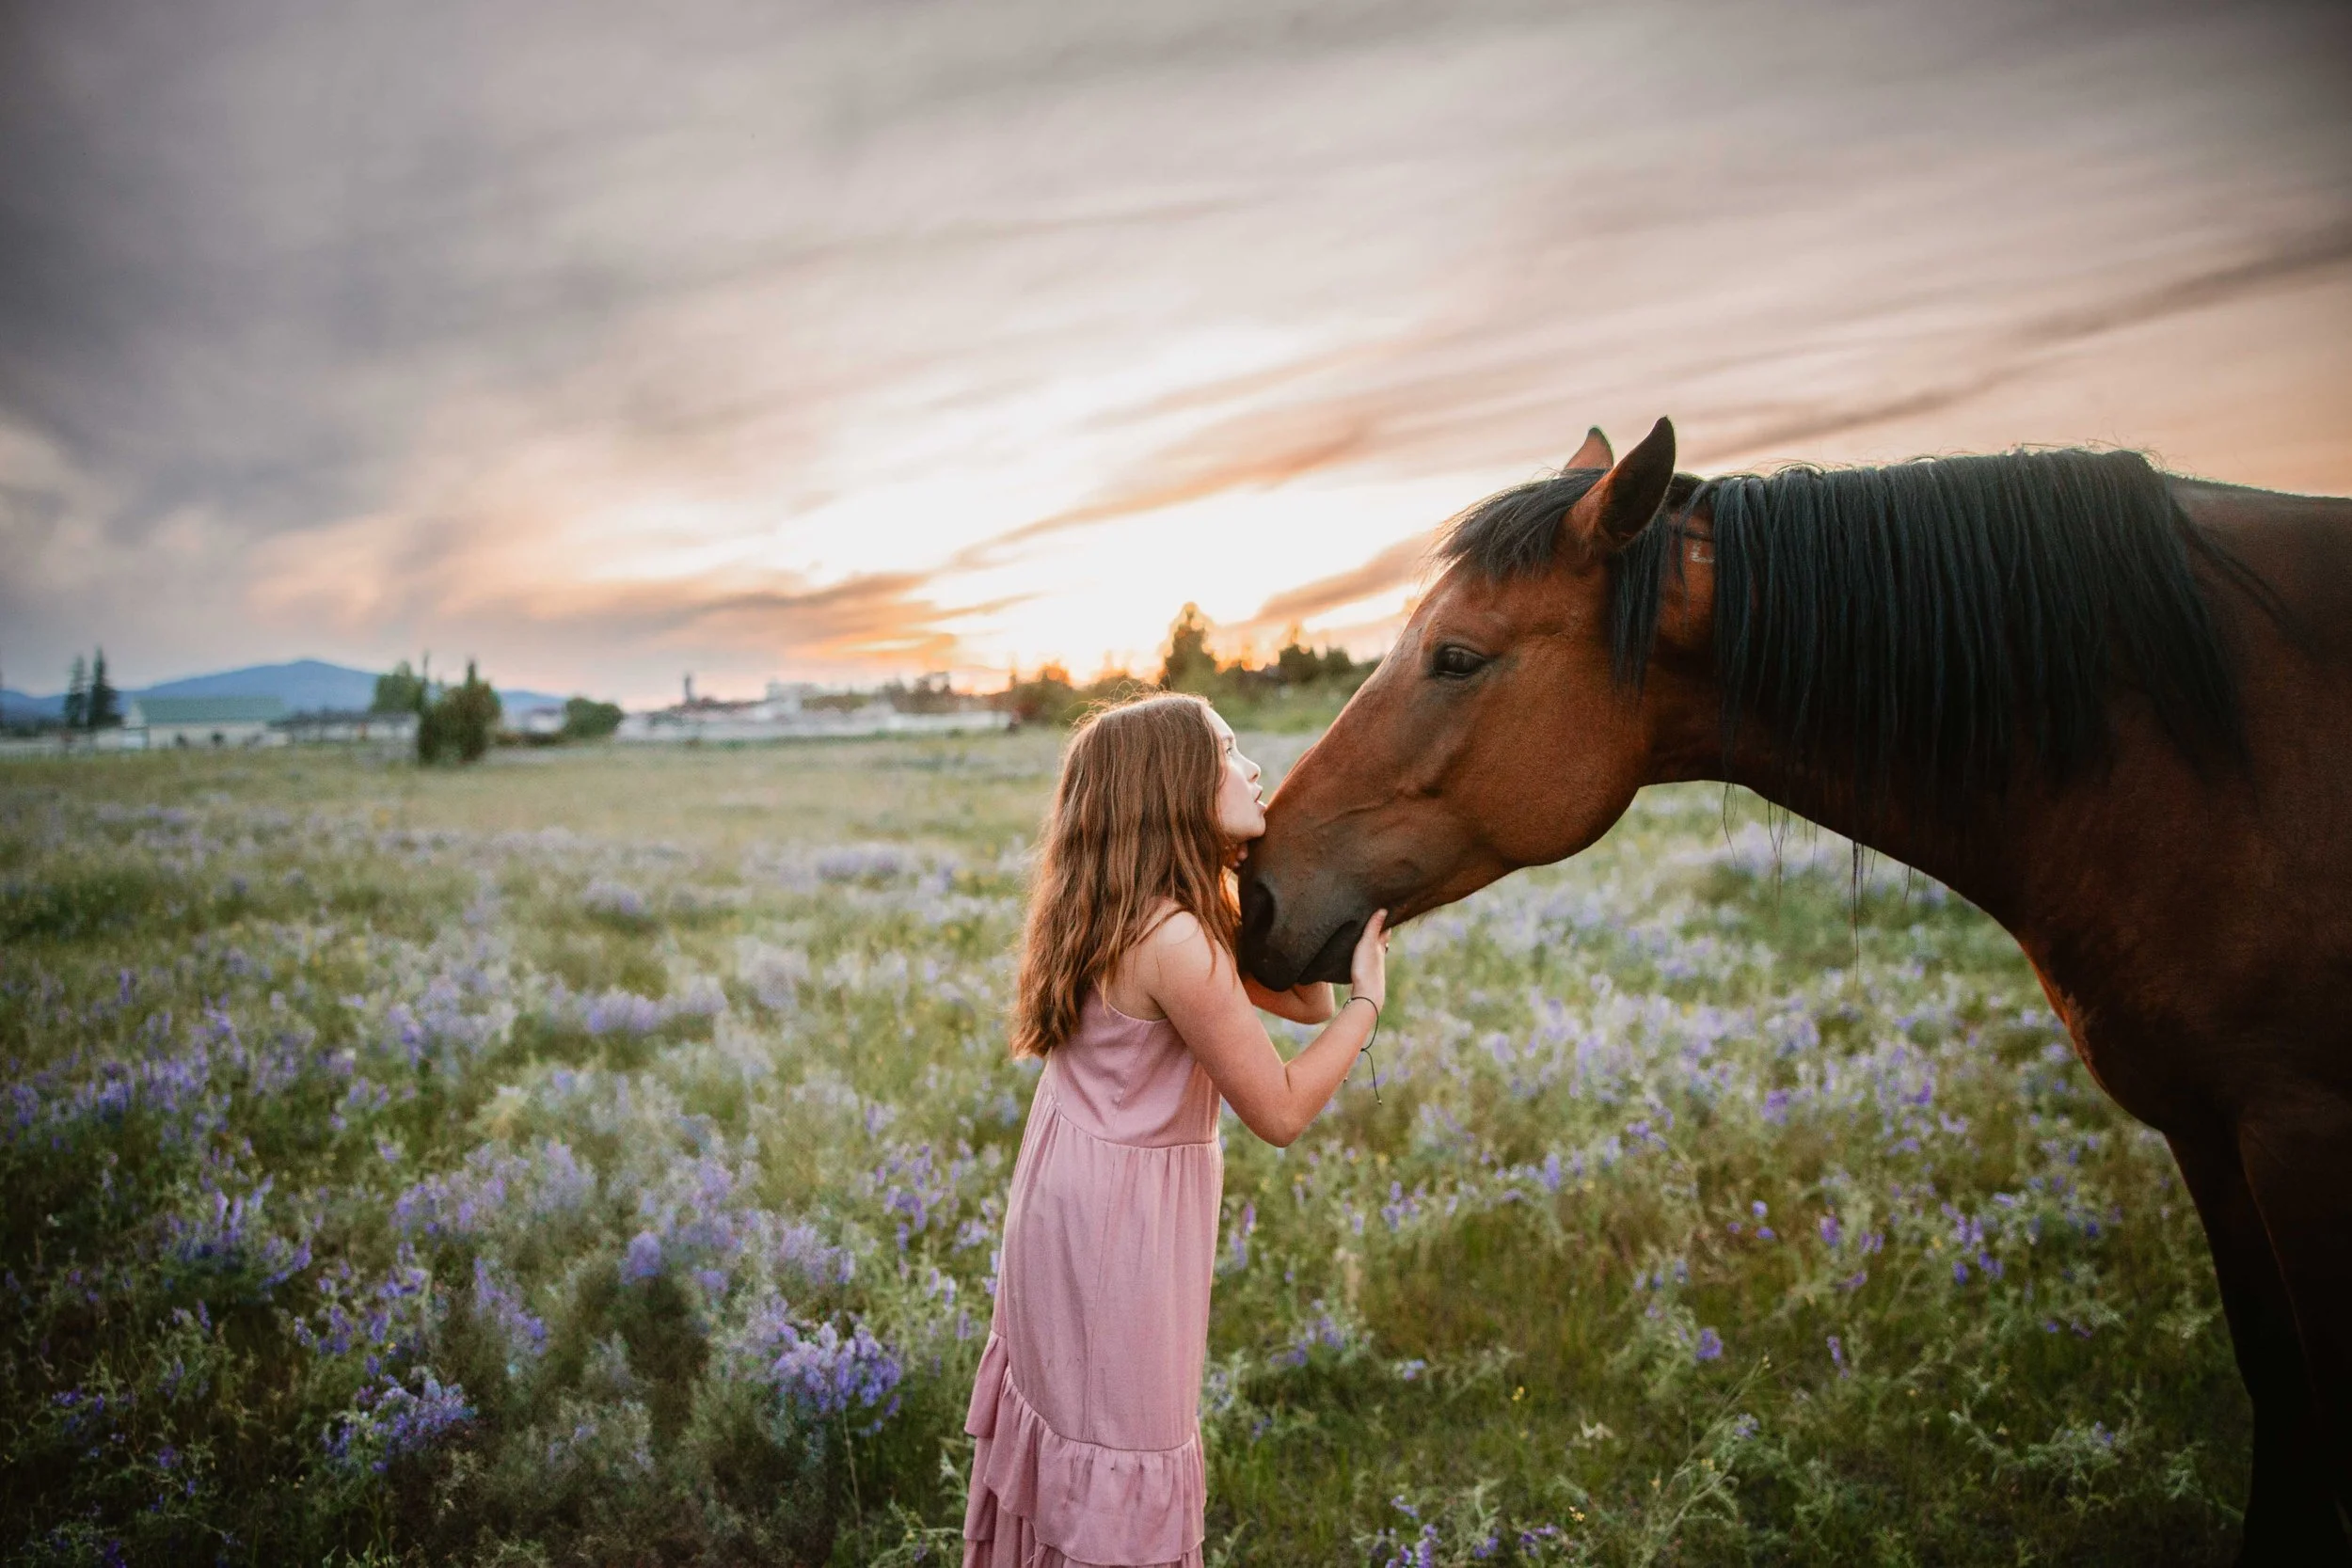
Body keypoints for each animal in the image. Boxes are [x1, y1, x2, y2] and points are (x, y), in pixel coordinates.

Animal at [1236, 418, 2352, 1563]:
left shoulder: (2298, 1130)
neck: (2196, 761)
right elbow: (2279, 1382)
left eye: (1457, 656)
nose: (1255, 891)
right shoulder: (2206, 1127)